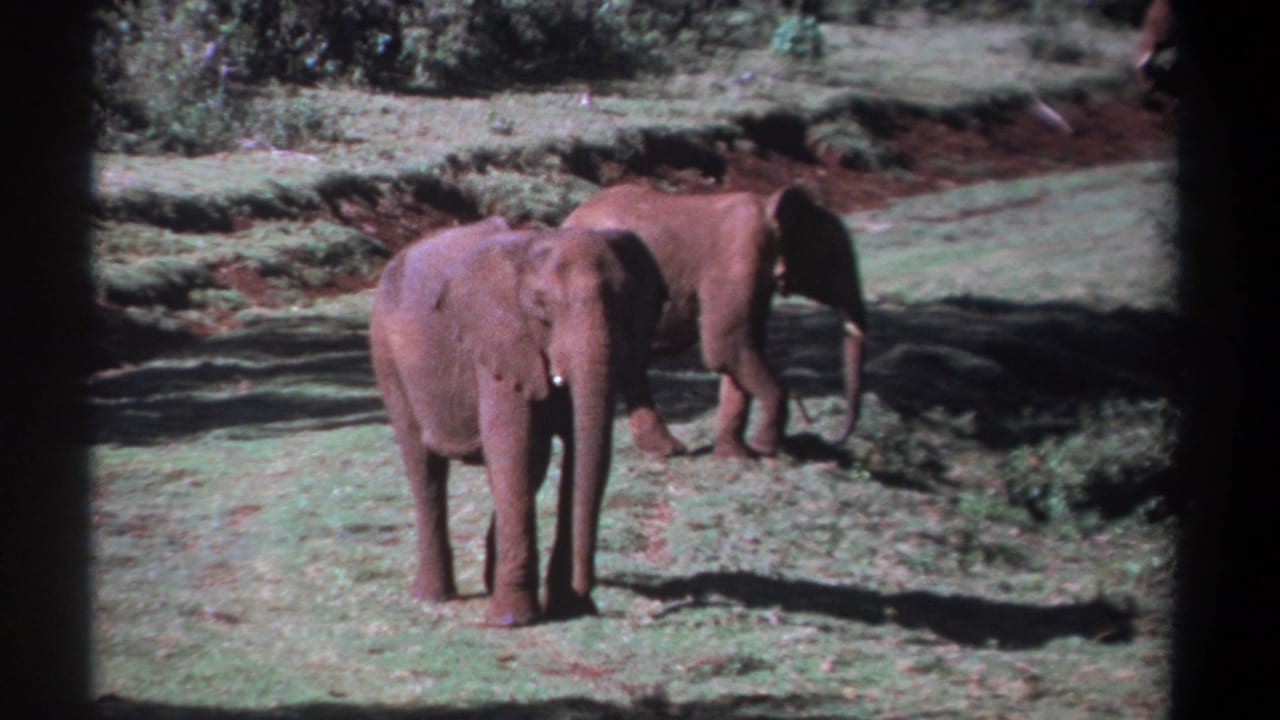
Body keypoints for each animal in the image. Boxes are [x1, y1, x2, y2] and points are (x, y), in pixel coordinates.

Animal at [369, 217, 665, 626]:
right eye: (541, 307)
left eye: (626, 302)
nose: (589, 593)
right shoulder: (499, 342)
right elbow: (515, 448)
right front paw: (512, 622)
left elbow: (565, 453)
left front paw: (567, 608)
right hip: (387, 355)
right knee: (424, 466)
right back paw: (432, 596)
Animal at [562, 183, 866, 460]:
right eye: (833, 257)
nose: (833, 438)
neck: (768, 207)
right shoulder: (737, 258)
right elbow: (728, 347)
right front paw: (766, 449)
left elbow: (741, 351)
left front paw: (737, 456)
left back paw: (666, 451)